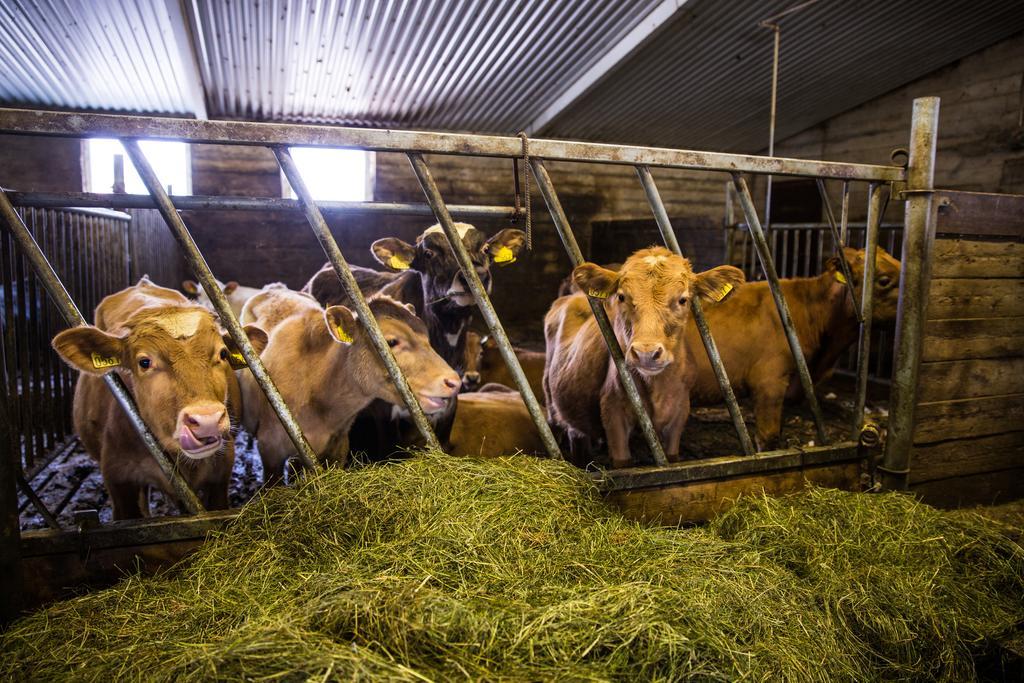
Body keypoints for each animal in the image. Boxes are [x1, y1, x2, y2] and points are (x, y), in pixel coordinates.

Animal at [544, 248, 745, 466]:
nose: (646, 354)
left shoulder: (680, 411)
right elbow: (622, 461)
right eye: (621, 297)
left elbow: (672, 455)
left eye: (682, 300)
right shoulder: (613, 412)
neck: (657, 387)